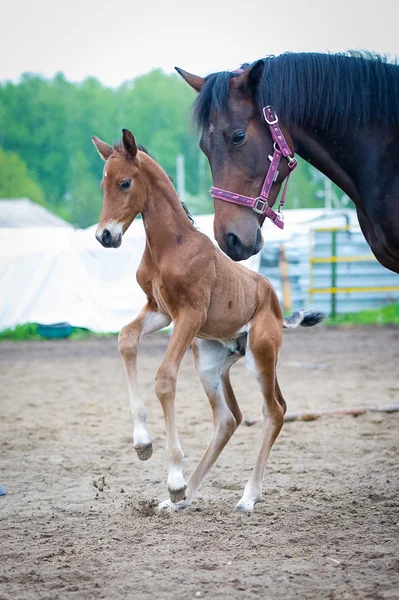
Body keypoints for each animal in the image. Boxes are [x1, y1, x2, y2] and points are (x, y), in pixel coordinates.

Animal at [92, 129, 324, 512]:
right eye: (102, 185)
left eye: (125, 183)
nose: (105, 236)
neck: (170, 246)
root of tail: (276, 304)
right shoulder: (159, 310)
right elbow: (126, 339)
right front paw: (143, 444)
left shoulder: (190, 313)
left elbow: (165, 379)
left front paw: (172, 475)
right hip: (209, 359)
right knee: (228, 419)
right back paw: (183, 498)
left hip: (261, 355)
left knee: (275, 410)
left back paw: (246, 496)